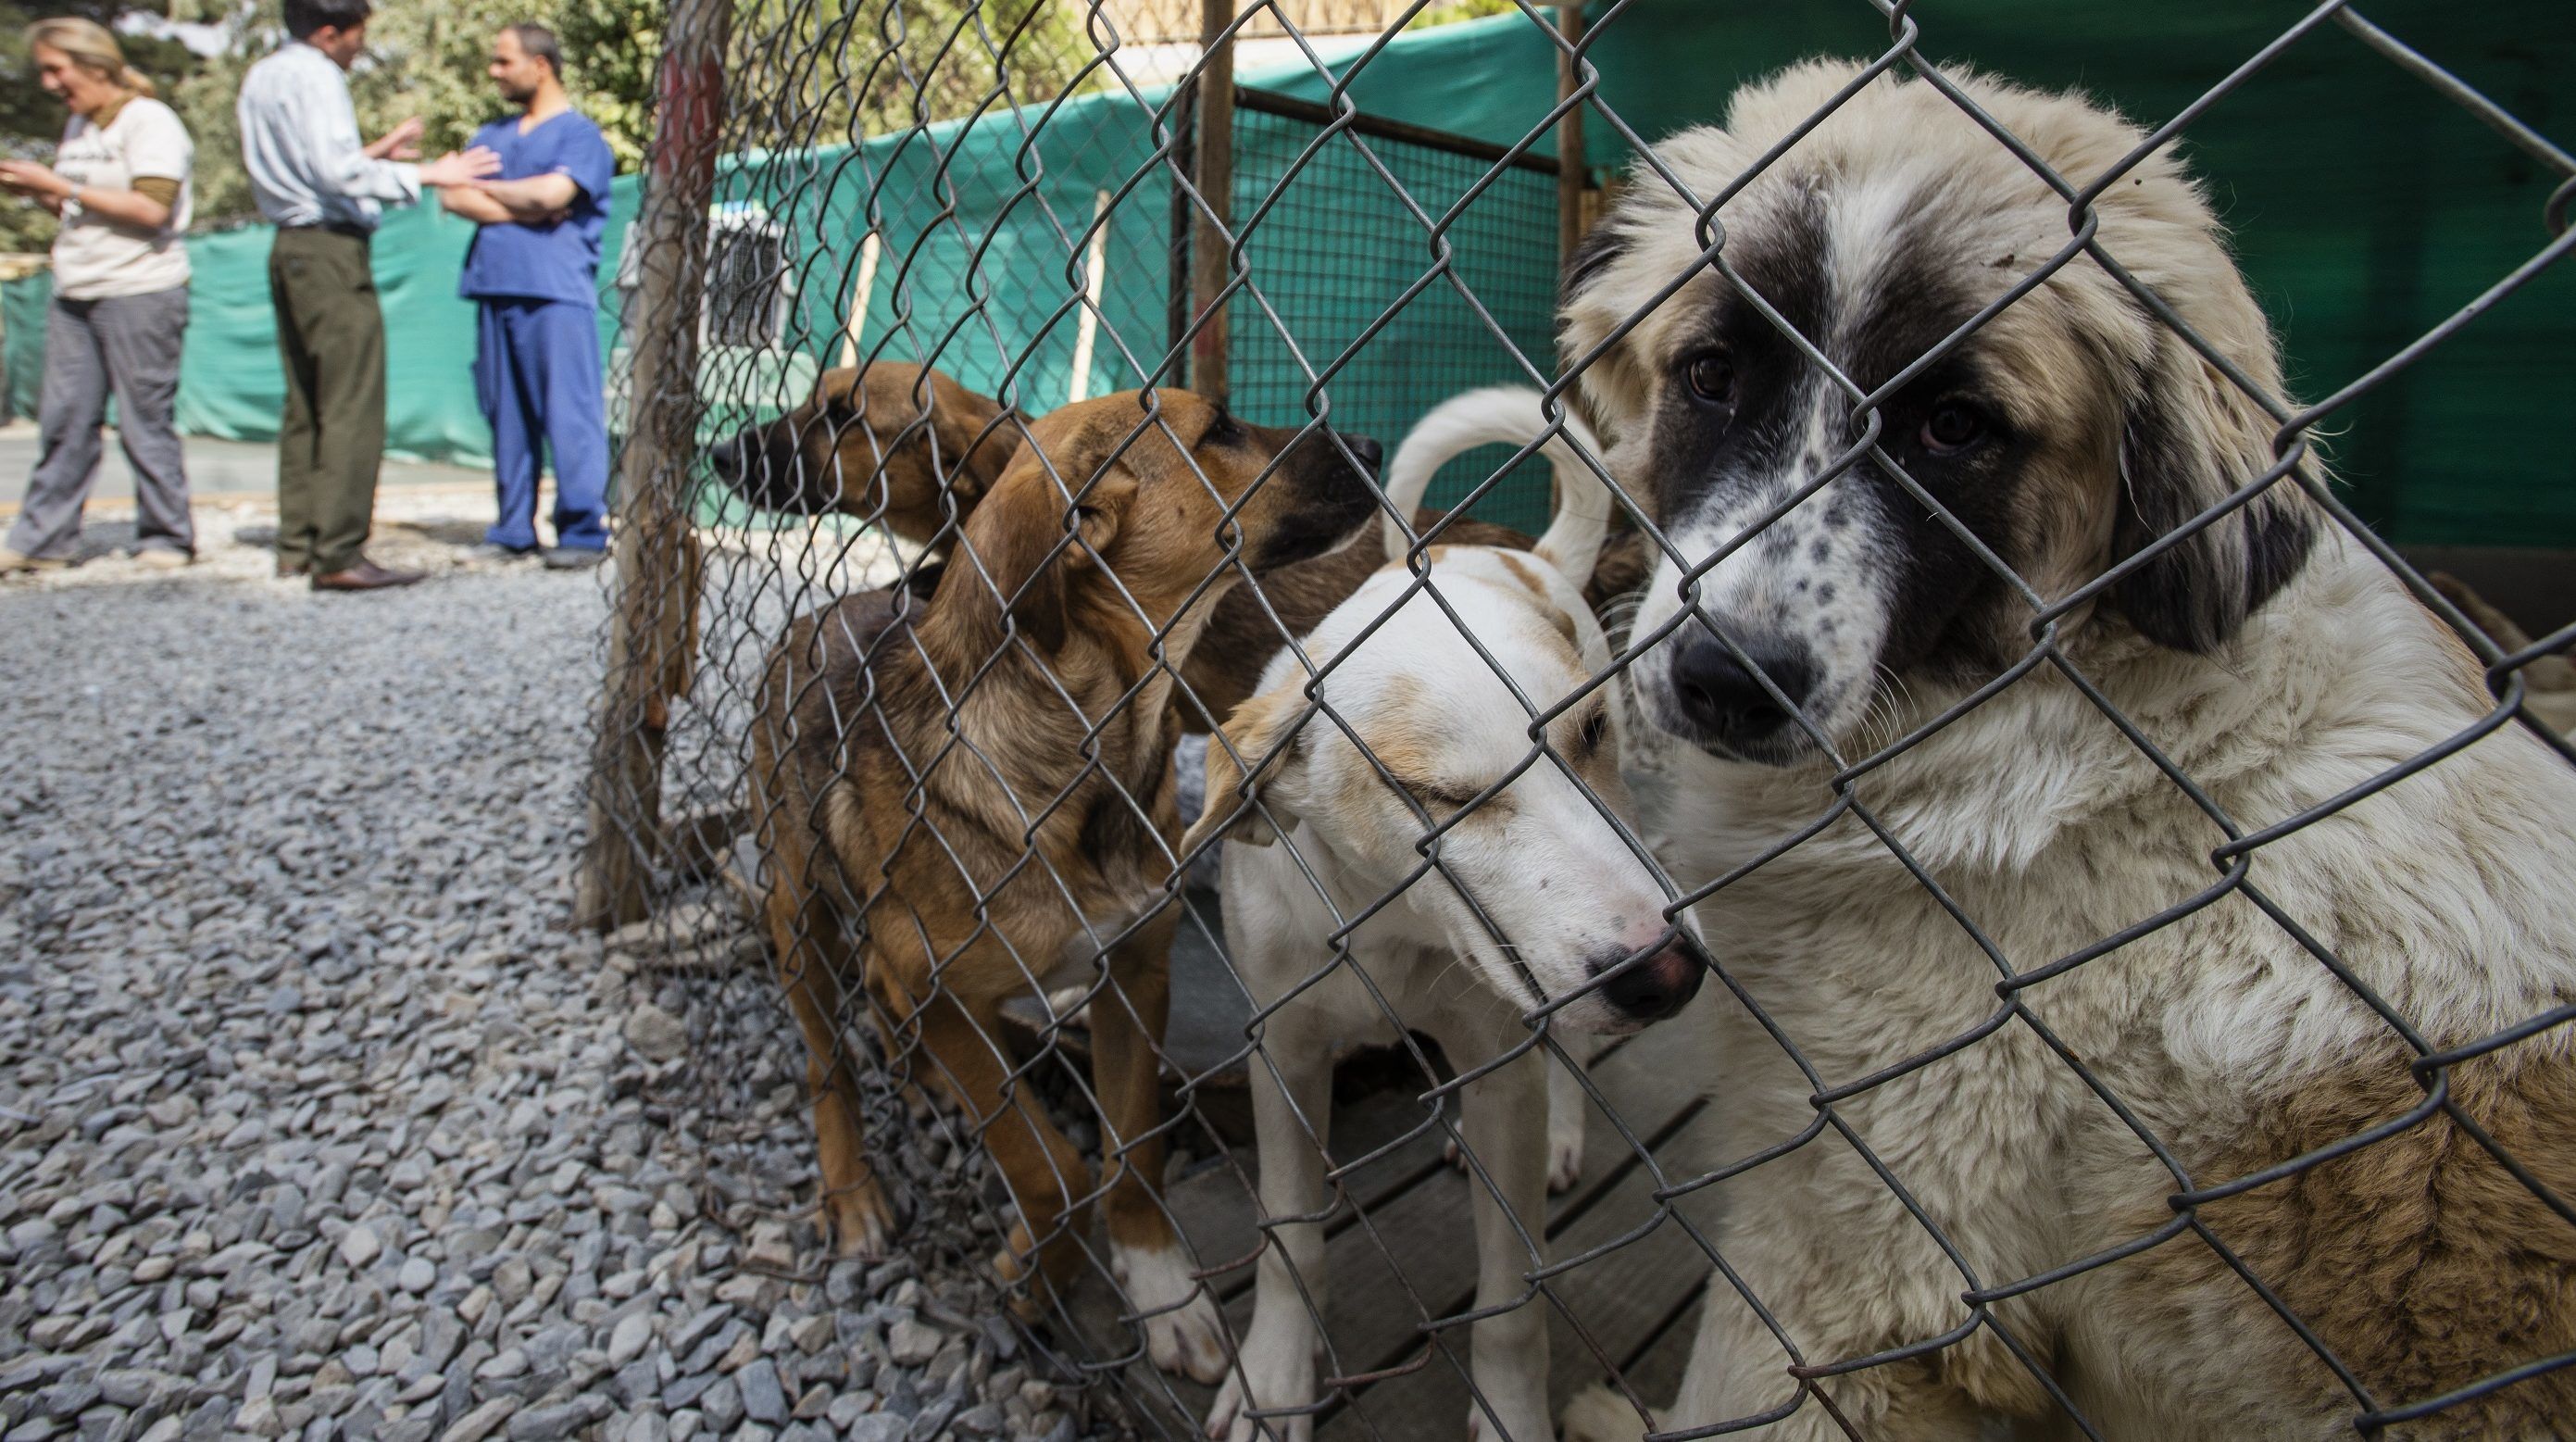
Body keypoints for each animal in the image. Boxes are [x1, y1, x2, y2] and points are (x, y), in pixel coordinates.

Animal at [752, 388, 1381, 1380]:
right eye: (1220, 429)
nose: (1373, 444)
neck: (1090, 751)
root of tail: (820, 612)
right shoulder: (945, 994)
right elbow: (1052, 1167)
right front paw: (1035, 1273)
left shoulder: (1134, 974)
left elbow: (1133, 1153)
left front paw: (1159, 1285)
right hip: (798, 916)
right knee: (826, 1062)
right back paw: (851, 1189)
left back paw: (920, 1078)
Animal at [1190, 386, 1710, 1442]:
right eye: (1440, 797)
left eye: (1589, 732)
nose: (1668, 973)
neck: (1388, 932)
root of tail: (1533, 552)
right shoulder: (1283, 1053)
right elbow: (1288, 1234)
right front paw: (1275, 1371)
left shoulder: (1504, 1058)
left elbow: (1511, 1304)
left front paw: (1510, 1411)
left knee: (1564, 1059)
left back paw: (1561, 1129)